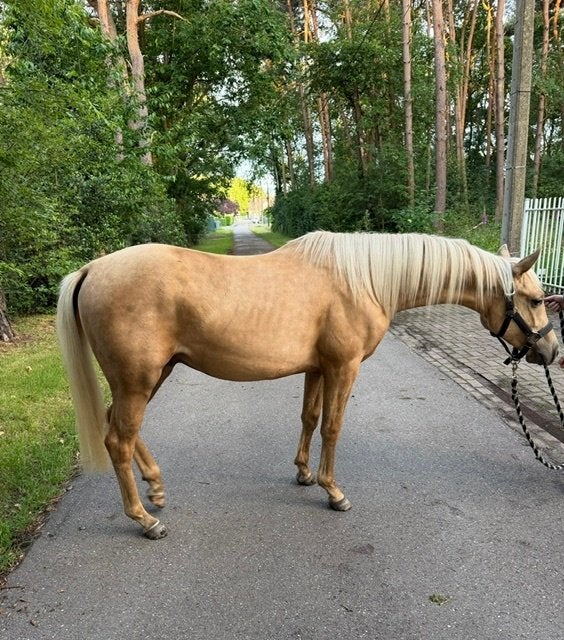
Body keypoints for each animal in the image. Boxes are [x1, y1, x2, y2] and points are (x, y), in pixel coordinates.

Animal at [56, 231, 558, 539]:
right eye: (536, 300)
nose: (552, 353)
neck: (365, 280)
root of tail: (91, 269)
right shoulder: (344, 367)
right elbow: (333, 427)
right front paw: (333, 492)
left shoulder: (318, 368)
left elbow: (310, 418)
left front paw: (303, 473)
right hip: (138, 381)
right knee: (118, 440)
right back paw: (144, 519)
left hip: (149, 377)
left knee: (120, 428)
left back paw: (156, 489)